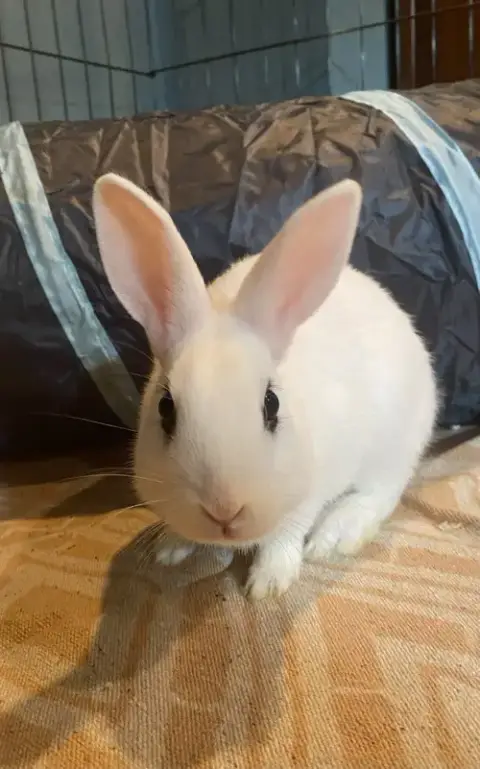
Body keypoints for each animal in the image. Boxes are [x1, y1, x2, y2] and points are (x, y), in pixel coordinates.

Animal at [92, 173, 438, 601]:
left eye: (271, 405)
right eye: (165, 409)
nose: (224, 509)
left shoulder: (308, 496)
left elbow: (285, 535)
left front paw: (268, 585)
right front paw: (170, 550)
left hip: (395, 442)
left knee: (384, 491)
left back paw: (335, 534)